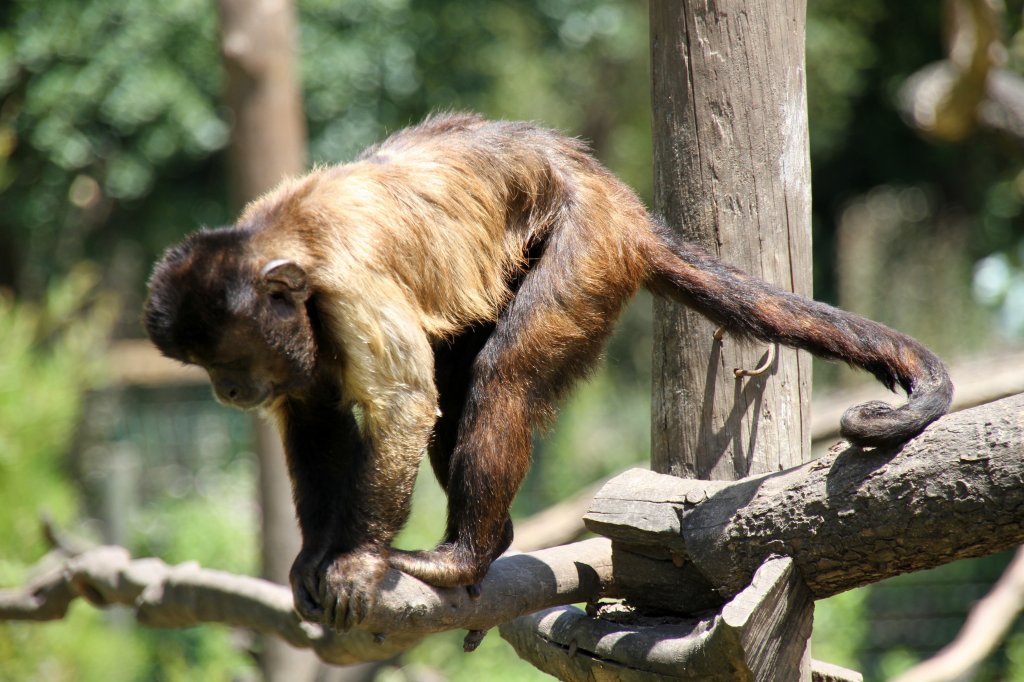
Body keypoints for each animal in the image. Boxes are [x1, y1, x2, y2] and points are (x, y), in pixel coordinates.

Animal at [142, 110, 950, 626]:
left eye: (231, 360)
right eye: (207, 367)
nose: (228, 389)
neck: (288, 242)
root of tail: (624, 206)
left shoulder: (346, 285)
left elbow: (403, 404)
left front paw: (356, 562)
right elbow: (314, 418)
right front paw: (315, 555)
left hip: (587, 245)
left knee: (499, 376)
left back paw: (464, 557)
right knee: (461, 381)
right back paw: (489, 543)